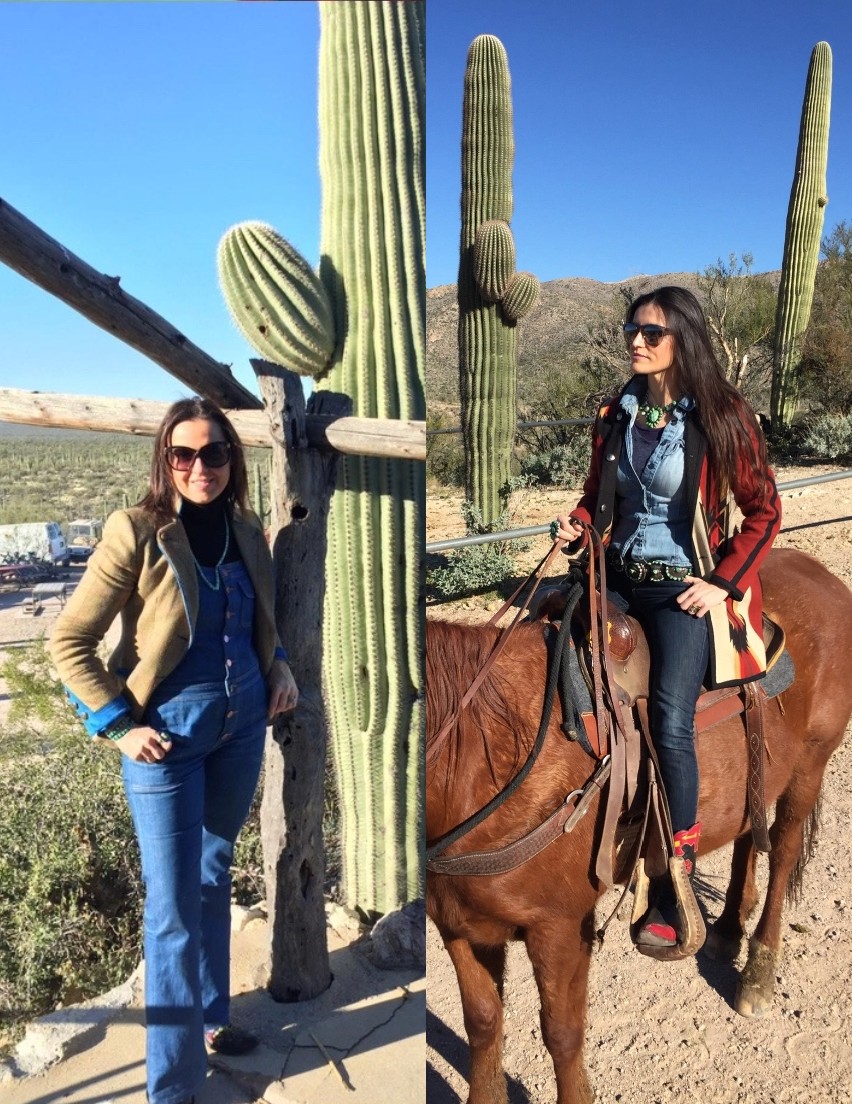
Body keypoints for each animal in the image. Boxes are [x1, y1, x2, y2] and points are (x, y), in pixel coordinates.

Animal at [425, 547, 852, 1104]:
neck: (493, 758)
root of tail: (818, 572)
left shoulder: (559, 928)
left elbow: (561, 1033)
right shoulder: (457, 925)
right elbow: (481, 1023)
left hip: (810, 765)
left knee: (780, 853)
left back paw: (758, 971)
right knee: (746, 838)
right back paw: (727, 929)